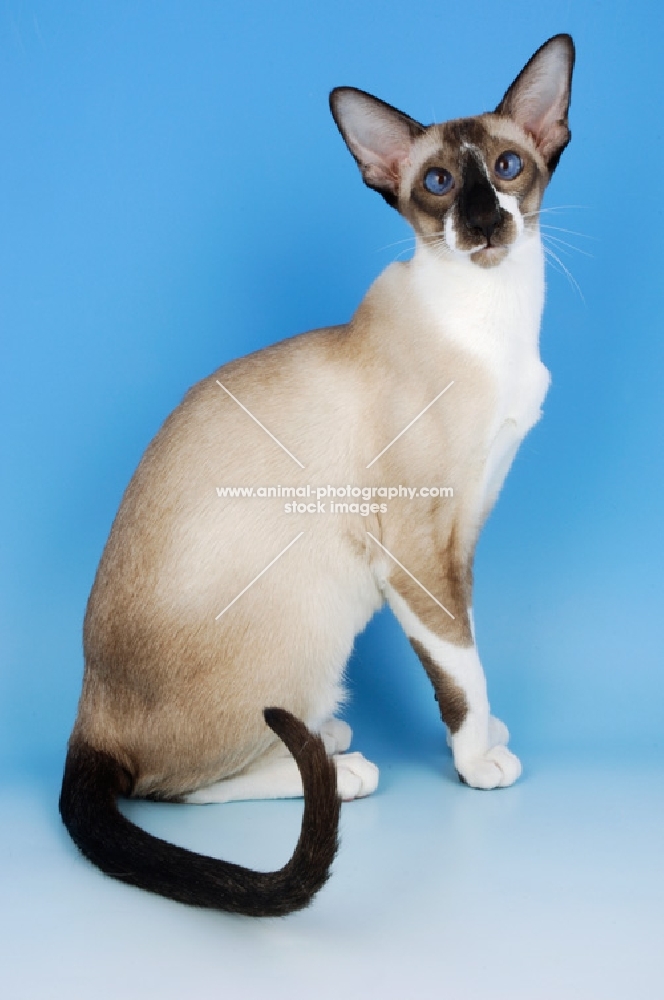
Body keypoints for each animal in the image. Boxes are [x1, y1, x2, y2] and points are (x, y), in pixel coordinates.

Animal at [59, 35, 572, 916]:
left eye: (507, 168)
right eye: (440, 184)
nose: (481, 223)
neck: (494, 322)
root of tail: (88, 714)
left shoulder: (462, 537)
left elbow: (468, 649)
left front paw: (489, 735)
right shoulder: (417, 552)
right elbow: (459, 672)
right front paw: (479, 763)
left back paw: (325, 736)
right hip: (316, 614)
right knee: (170, 787)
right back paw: (340, 767)